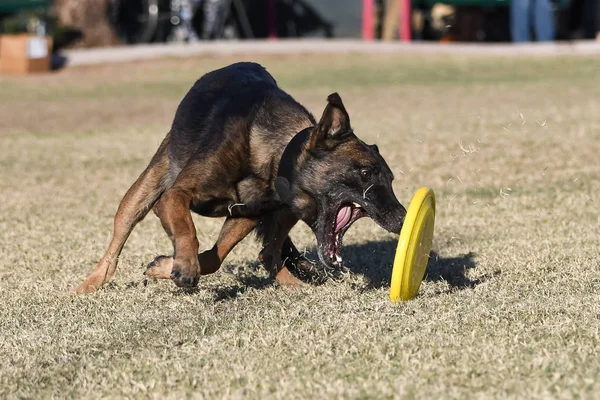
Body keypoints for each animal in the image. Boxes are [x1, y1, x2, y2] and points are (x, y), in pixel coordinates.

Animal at [72, 62, 406, 294]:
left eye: (390, 179)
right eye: (365, 172)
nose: (404, 218)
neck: (274, 156)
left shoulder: (247, 214)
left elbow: (214, 258)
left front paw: (166, 266)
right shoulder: (174, 196)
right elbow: (188, 232)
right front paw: (182, 265)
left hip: (281, 213)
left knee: (269, 253)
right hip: (145, 189)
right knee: (117, 242)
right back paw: (88, 285)